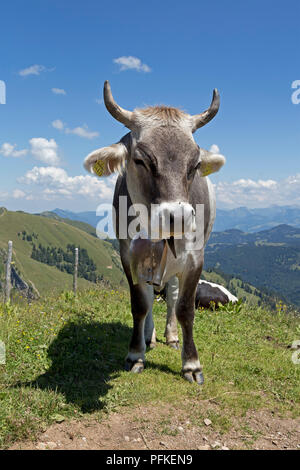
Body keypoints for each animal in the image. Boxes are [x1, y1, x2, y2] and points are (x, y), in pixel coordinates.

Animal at [84, 80, 225, 382]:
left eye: (195, 164)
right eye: (140, 160)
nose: (178, 218)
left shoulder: (195, 257)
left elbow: (185, 308)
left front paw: (191, 363)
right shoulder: (128, 254)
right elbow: (140, 303)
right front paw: (136, 354)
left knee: (171, 295)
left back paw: (171, 336)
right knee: (151, 296)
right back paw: (149, 336)